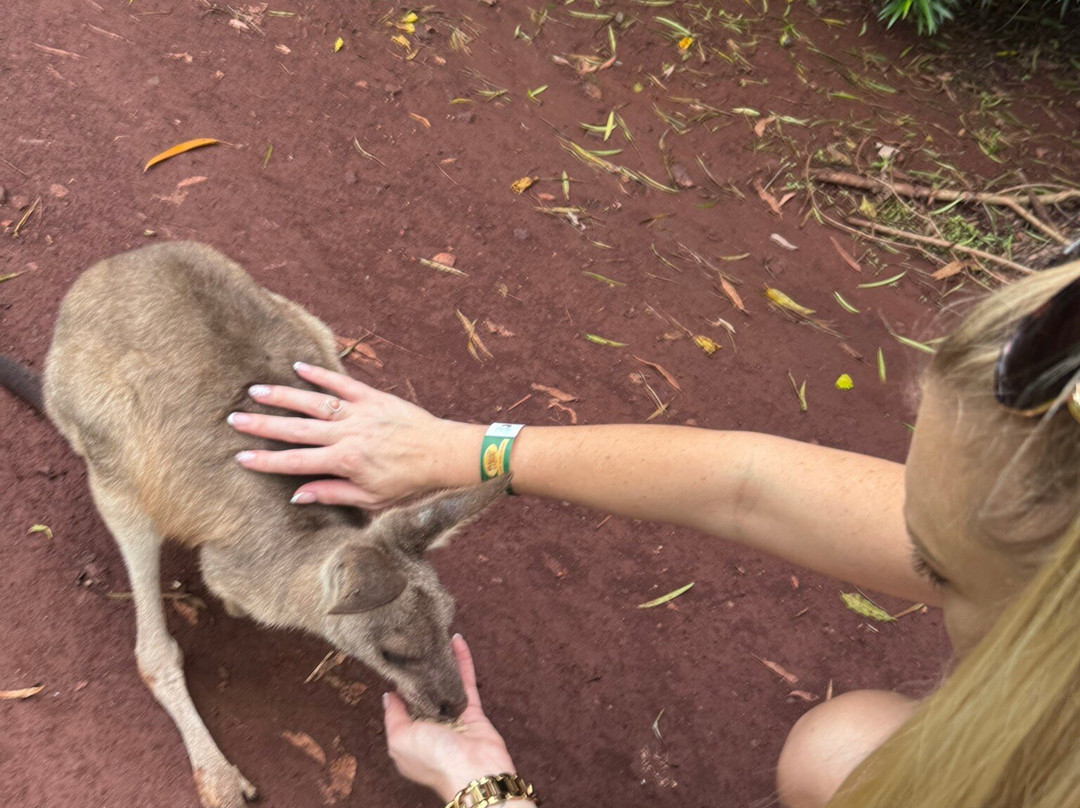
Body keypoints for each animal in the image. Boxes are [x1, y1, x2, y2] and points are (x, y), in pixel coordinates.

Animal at [0, 241, 509, 808]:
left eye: (448, 621)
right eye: (391, 654)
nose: (455, 708)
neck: (308, 535)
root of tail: (114, 265)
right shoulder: (239, 561)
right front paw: (231, 606)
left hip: (307, 324)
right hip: (116, 455)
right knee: (152, 645)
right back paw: (219, 779)